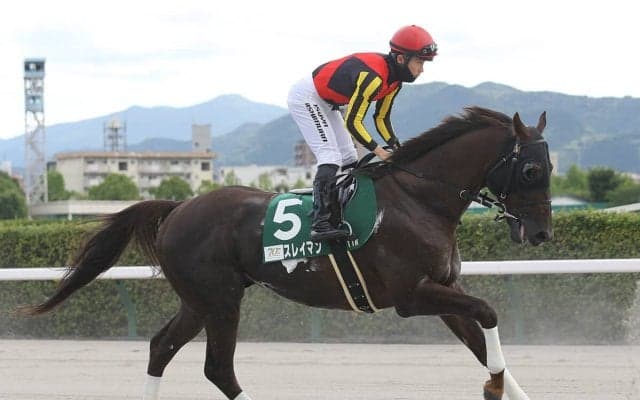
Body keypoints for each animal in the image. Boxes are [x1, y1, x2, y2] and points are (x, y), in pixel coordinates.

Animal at [22, 107, 552, 400]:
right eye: (530, 170)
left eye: (549, 168)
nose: (542, 232)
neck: (418, 198)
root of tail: (178, 207)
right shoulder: (412, 296)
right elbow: (488, 313)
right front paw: (493, 386)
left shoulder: (443, 288)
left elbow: (481, 340)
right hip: (220, 300)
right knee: (217, 367)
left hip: (199, 301)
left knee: (161, 347)